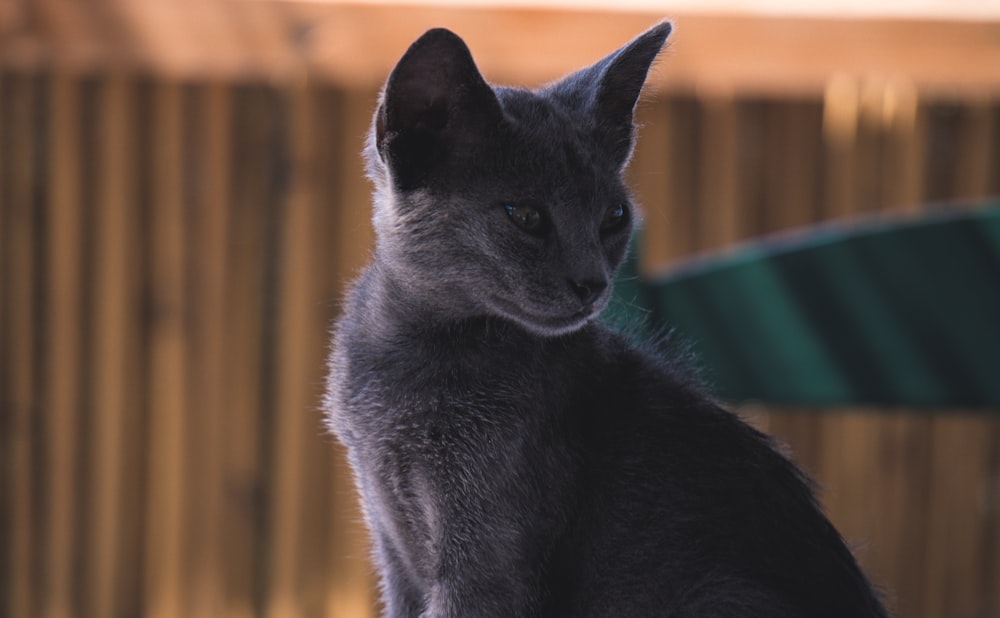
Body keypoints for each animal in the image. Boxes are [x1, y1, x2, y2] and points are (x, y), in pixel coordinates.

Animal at [324, 22, 888, 616]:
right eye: (525, 216)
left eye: (614, 217)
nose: (592, 282)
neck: (405, 358)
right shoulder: (391, 545)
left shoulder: (484, 566)